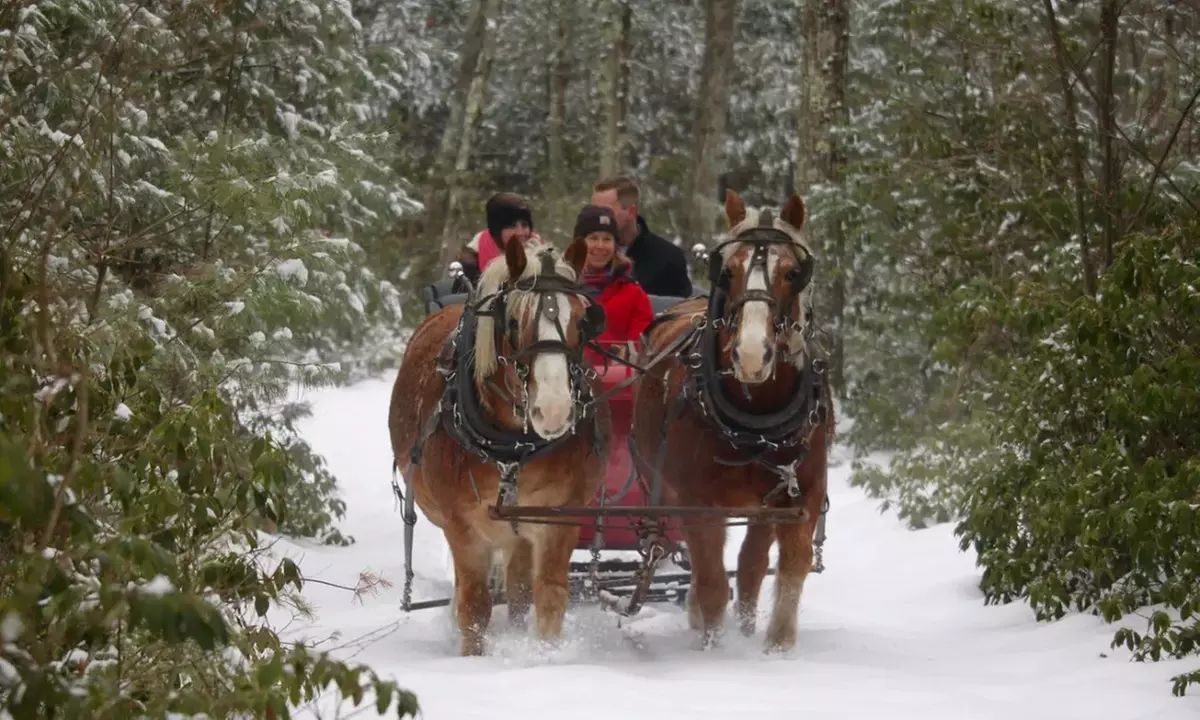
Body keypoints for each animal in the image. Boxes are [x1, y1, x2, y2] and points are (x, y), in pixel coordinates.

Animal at [388, 236, 609, 656]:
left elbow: (549, 597)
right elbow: (475, 607)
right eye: (515, 321)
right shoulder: (463, 526)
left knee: (519, 590)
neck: (512, 447)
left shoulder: (558, 518)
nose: (553, 410)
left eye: (581, 320)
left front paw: (548, 656)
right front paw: (472, 659)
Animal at [629, 189, 834, 652]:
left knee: (752, 564)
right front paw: (713, 647)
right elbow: (710, 581)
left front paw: (776, 646)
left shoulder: (801, 492)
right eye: (728, 271)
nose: (752, 354)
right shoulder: (696, 500)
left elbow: (789, 567)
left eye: (792, 272)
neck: (756, 421)